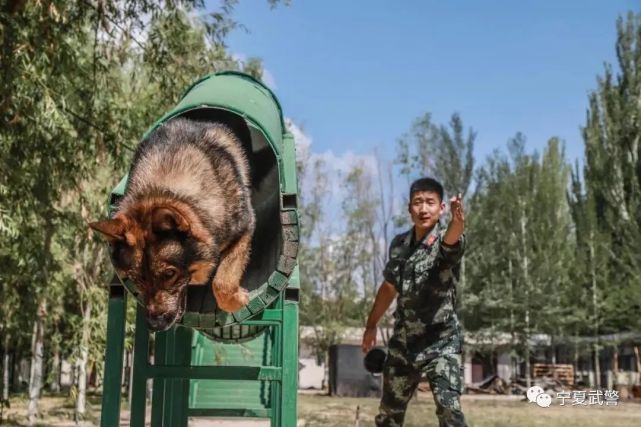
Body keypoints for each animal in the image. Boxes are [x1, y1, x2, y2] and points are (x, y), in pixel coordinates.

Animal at [90, 118, 255, 334]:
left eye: (169, 274)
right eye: (136, 278)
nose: (154, 325)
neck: (160, 190)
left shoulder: (244, 228)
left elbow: (222, 283)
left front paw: (238, 298)